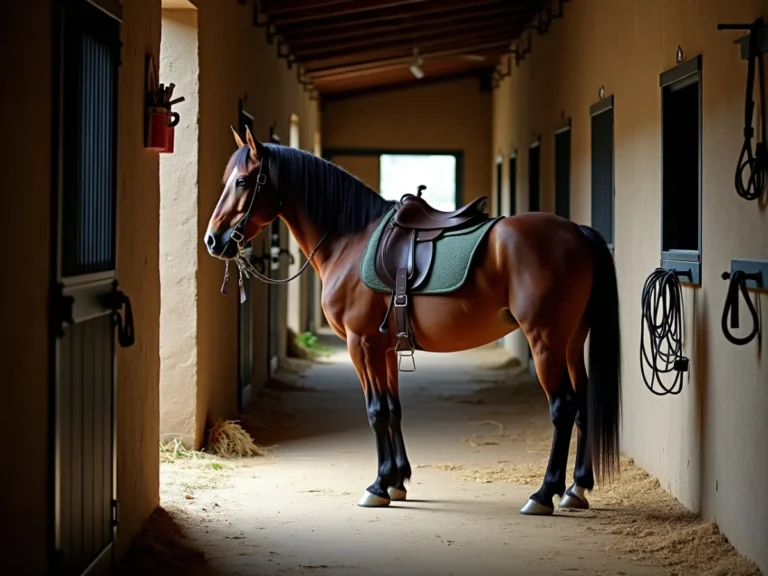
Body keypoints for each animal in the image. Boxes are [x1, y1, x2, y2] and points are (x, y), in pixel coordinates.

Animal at [203, 126, 621, 515]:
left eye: (242, 181)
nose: (212, 240)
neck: (349, 241)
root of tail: (576, 232)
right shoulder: (386, 348)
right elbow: (393, 409)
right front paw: (397, 481)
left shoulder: (361, 344)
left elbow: (375, 411)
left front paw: (377, 486)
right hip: (571, 341)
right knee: (583, 403)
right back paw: (576, 489)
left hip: (545, 341)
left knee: (563, 407)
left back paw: (544, 494)